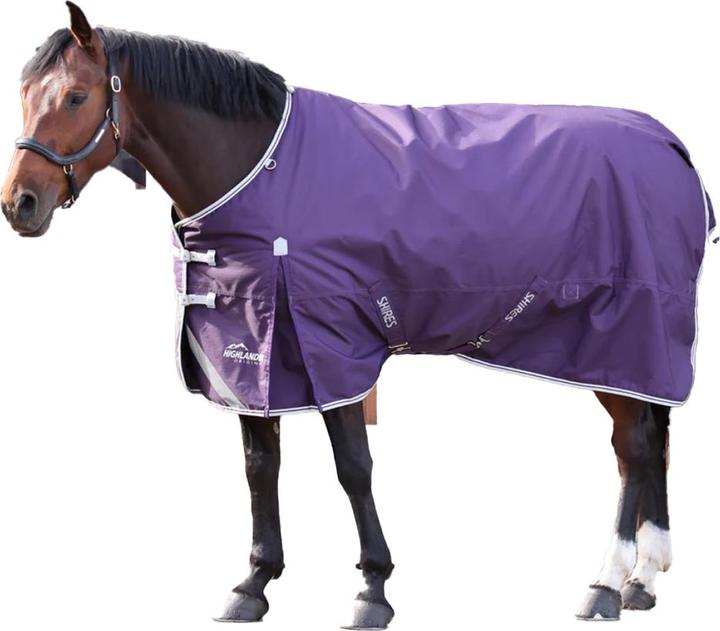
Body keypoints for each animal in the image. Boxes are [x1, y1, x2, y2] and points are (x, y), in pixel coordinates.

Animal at [2, 3, 714, 627]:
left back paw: (606, 585)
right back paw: (643, 581)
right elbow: (261, 467)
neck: (260, 169)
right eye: (25, 92)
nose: (20, 204)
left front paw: (373, 588)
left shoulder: (331, 346)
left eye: (75, 97)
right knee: (648, 443)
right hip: (628, 351)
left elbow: (353, 468)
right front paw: (254, 583)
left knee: (634, 447)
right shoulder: (252, 353)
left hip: (619, 337)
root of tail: (671, 147)